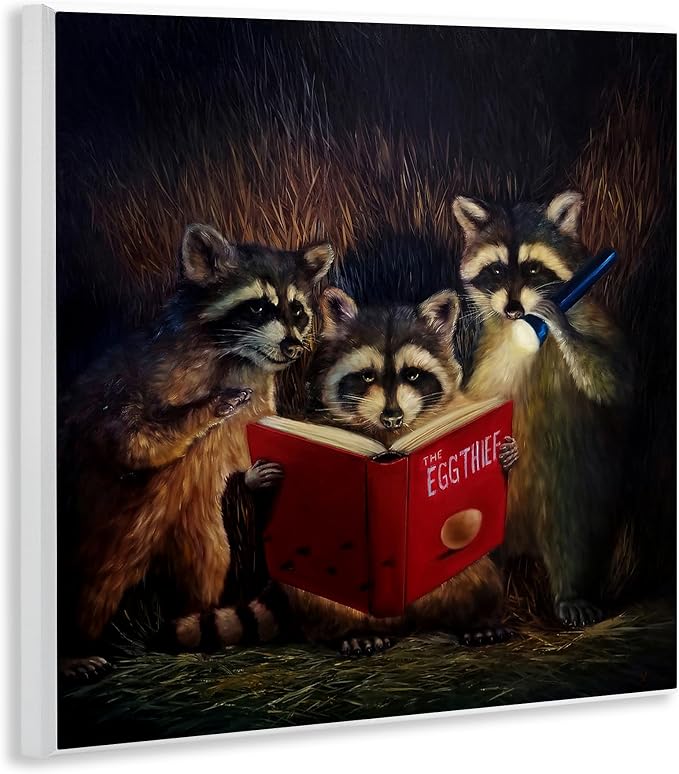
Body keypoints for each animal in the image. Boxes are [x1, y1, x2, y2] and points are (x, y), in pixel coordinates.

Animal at [58, 223, 334, 678]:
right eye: (258, 308)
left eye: (297, 310)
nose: (294, 347)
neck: (237, 358)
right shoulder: (137, 382)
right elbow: (133, 442)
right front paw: (202, 411)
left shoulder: (256, 400)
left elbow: (238, 451)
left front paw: (255, 472)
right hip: (96, 534)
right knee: (89, 587)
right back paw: (73, 649)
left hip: (194, 531)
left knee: (207, 563)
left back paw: (195, 625)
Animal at [453, 191, 632, 628]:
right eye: (496, 270)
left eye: (534, 269)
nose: (515, 310)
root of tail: (525, 543)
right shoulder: (488, 352)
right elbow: (474, 405)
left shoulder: (597, 322)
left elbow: (617, 382)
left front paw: (560, 322)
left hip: (574, 490)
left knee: (573, 534)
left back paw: (571, 591)